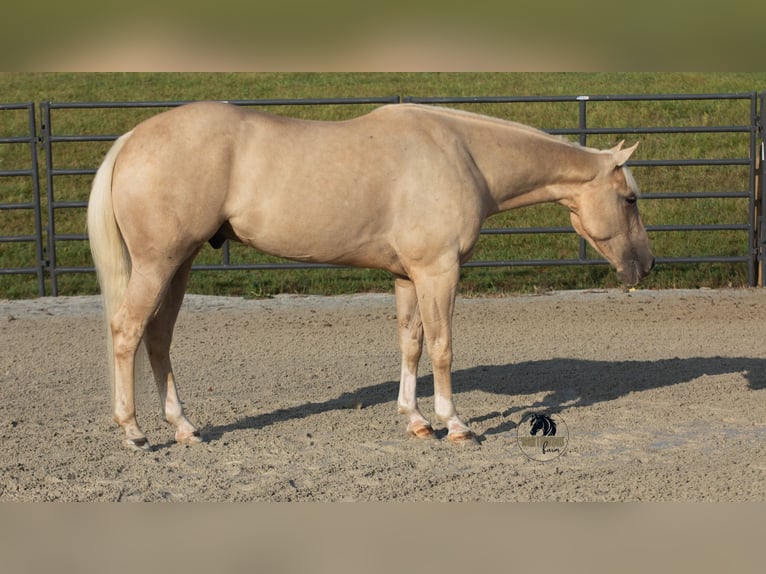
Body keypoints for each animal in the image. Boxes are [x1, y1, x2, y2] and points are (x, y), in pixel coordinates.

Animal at [87, 101, 654, 451]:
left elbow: (411, 344)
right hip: (159, 263)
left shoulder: (407, 276)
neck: (462, 154)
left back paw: (184, 427)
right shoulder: (438, 272)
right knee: (127, 332)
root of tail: (133, 137)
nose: (645, 265)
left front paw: (417, 421)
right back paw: (134, 432)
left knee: (159, 338)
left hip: (179, 264)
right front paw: (455, 424)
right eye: (629, 198)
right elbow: (442, 347)